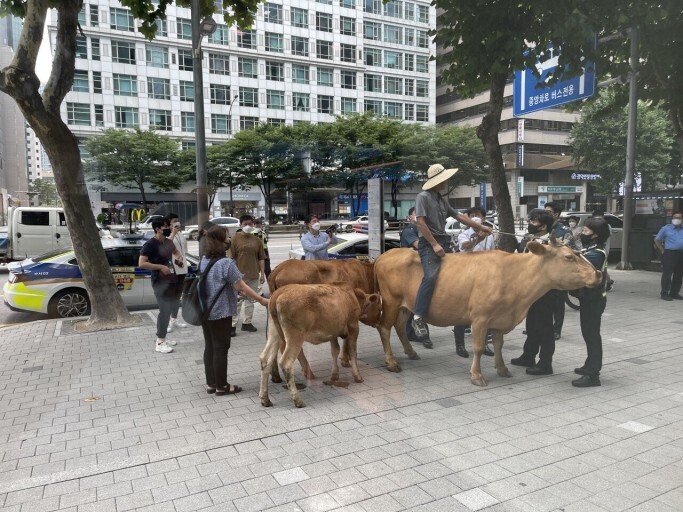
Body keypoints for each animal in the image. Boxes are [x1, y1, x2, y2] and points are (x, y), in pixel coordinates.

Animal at [374, 241, 602, 386]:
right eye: (568, 257)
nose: (599, 274)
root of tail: (386, 254)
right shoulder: (480, 318)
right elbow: (478, 347)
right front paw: (476, 376)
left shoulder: (500, 319)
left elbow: (499, 345)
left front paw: (502, 369)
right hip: (391, 301)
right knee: (385, 328)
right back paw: (392, 362)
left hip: (406, 305)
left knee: (399, 327)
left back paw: (411, 352)